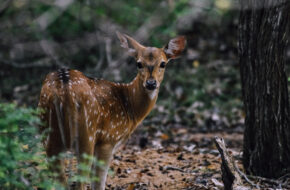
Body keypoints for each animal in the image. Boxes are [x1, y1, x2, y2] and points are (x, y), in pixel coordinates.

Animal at [38, 31, 186, 189]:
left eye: (163, 63)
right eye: (139, 63)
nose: (151, 83)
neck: (129, 107)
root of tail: (64, 92)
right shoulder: (108, 138)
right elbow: (99, 182)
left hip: (48, 134)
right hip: (86, 134)